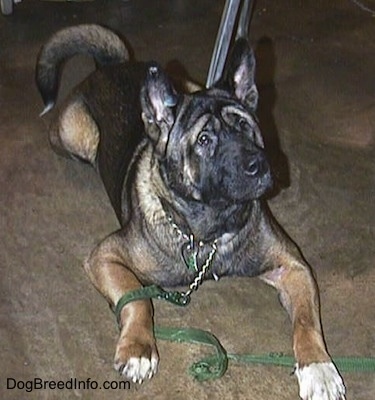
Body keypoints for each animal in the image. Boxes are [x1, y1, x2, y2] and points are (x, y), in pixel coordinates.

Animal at [35, 25, 346, 400]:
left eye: (245, 126)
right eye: (204, 140)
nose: (260, 166)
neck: (210, 229)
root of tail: (113, 65)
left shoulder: (294, 268)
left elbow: (306, 322)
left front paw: (318, 366)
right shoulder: (105, 256)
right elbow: (137, 302)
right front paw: (137, 347)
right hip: (73, 136)